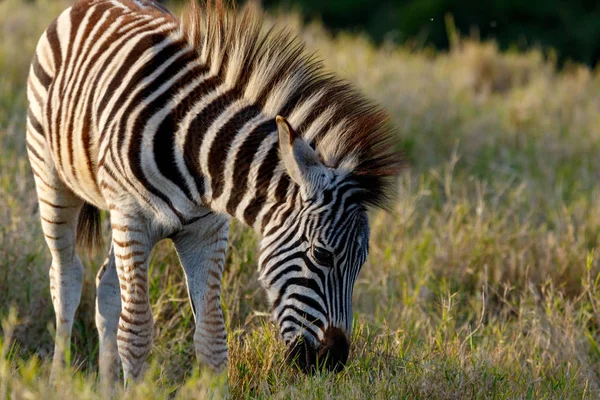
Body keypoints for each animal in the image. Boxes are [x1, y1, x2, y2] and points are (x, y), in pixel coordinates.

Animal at [27, 0, 404, 386]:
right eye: (322, 255)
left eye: (361, 263)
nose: (333, 362)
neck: (191, 148)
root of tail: (94, 3)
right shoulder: (133, 218)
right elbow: (136, 332)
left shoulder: (206, 231)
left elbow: (212, 337)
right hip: (52, 178)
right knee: (66, 277)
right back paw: (58, 378)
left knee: (106, 288)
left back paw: (107, 387)